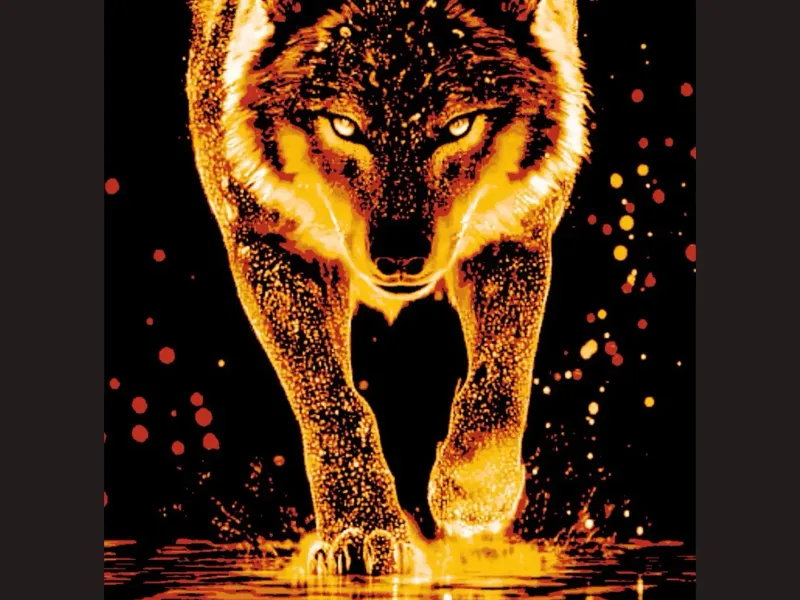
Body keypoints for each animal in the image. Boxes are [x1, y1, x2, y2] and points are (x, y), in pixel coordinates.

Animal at [187, 0, 589, 575]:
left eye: (458, 126)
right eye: (345, 126)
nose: (400, 257)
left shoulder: (517, 231)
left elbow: (502, 373)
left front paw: (473, 492)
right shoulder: (265, 241)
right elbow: (331, 401)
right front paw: (361, 528)